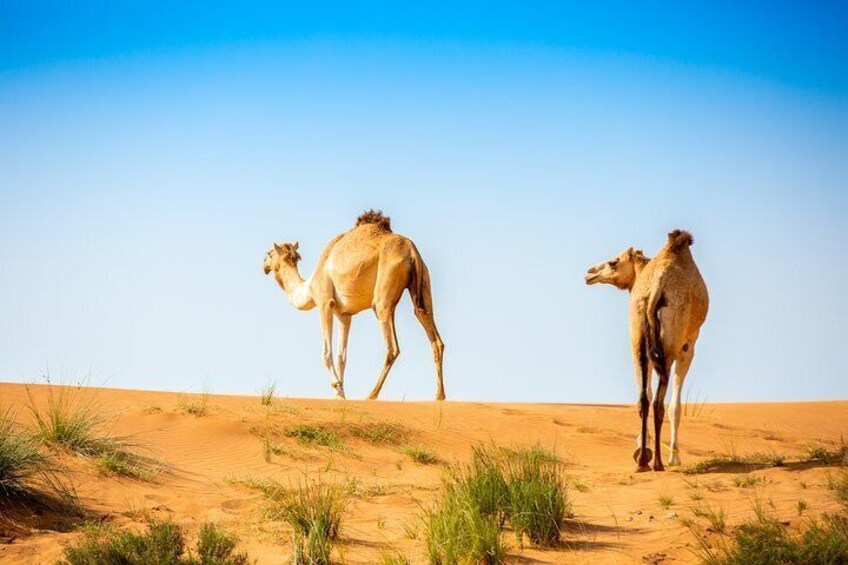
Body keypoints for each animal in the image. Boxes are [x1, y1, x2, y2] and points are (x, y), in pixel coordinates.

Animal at [264, 210, 450, 400]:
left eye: (269, 253)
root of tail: (412, 251)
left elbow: (327, 353)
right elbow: (341, 356)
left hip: (383, 295)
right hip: (424, 283)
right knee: (433, 334)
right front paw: (340, 394)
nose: (264, 264)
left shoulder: (325, 303)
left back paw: (371, 395)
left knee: (392, 347)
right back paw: (439, 396)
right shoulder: (344, 315)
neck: (308, 287)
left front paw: (337, 385)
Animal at [584, 229, 708, 472]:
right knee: (659, 402)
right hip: (670, 343)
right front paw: (675, 458)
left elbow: (647, 394)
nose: (589, 273)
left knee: (643, 399)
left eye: (614, 262)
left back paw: (642, 461)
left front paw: (642, 447)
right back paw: (659, 462)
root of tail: (655, 288)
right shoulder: (688, 346)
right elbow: (675, 406)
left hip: (637, 337)